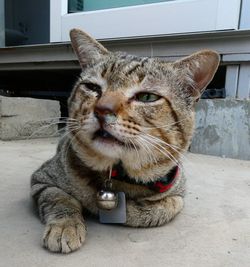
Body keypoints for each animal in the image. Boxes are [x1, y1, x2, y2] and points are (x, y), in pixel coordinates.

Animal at [30, 28, 219, 254]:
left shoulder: (179, 194)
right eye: (92, 87)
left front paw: (129, 210)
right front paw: (65, 226)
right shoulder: (41, 180)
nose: (102, 110)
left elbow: (163, 207)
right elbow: (60, 198)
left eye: (147, 97)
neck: (119, 176)